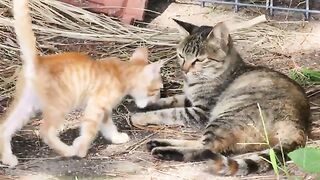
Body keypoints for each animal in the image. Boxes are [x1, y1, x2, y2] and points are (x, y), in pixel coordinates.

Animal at [0, 0, 164, 167]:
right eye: (158, 89)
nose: (157, 100)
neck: (122, 73)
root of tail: (37, 61)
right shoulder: (96, 106)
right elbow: (90, 130)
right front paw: (81, 149)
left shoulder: (103, 109)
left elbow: (108, 126)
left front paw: (116, 137)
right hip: (60, 105)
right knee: (45, 131)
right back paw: (67, 151)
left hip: (27, 105)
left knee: (5, 126)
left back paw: (8, 158)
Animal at [130, 20, 310, 176]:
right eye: (181, 56)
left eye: (199, 60)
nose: (184, 70)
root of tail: (297, 125)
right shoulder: (189, 99)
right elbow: (169, 101)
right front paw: (144, 104)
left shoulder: (200, 111)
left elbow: (170, 112)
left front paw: (139, 117)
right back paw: (158, 143)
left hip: (225, 117)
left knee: (207, 148)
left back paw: (164, 150)